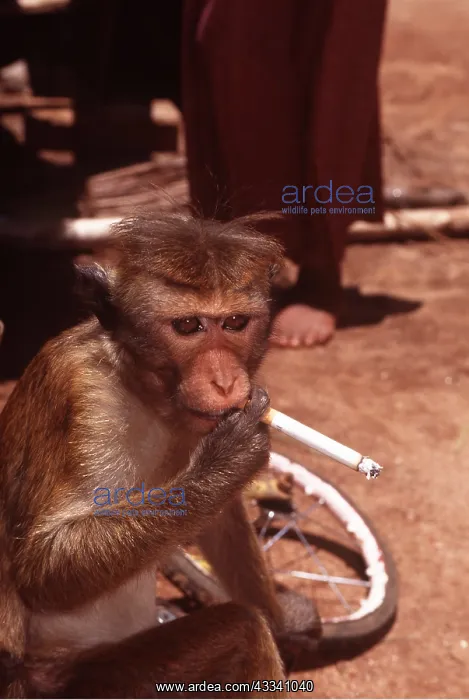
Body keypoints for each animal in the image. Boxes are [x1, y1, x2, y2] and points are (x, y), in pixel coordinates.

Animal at [0, 211, 292, 698]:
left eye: (235, 322)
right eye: (188, 326)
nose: (225, 382)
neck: (144, 391)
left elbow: (221, 521)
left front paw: (288, 630)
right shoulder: (83, 394)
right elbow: (43, 563)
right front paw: (227, 463)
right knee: (244, 628)